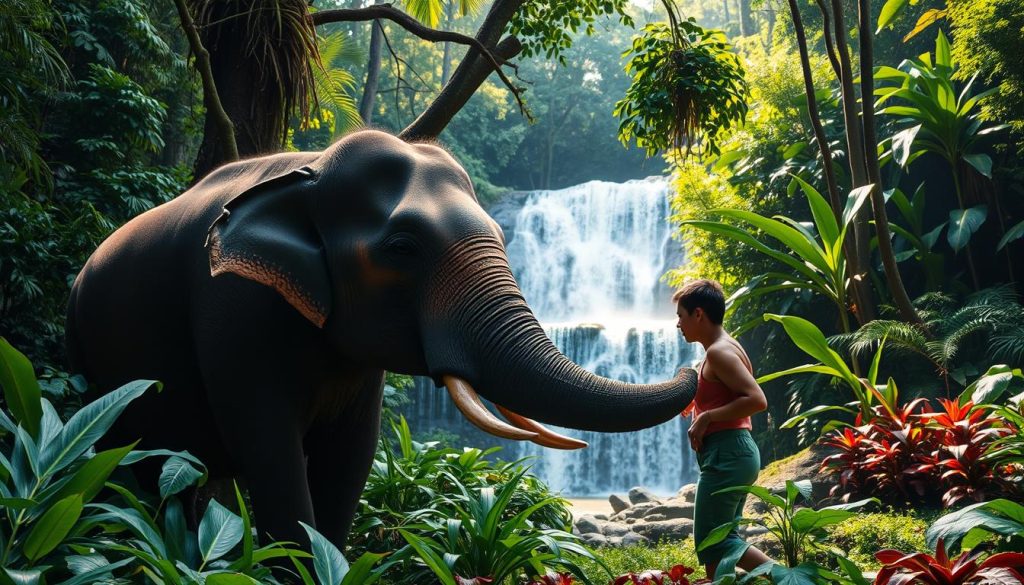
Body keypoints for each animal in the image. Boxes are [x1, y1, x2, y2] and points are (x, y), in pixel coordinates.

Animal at [65, 129, 697, 552]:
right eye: (402, 248)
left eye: (502, 236)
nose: (692, 368)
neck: (311, 169)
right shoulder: (231, 305)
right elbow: (270, 446)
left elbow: (354, 453)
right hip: (98, 373)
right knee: (141, 464)